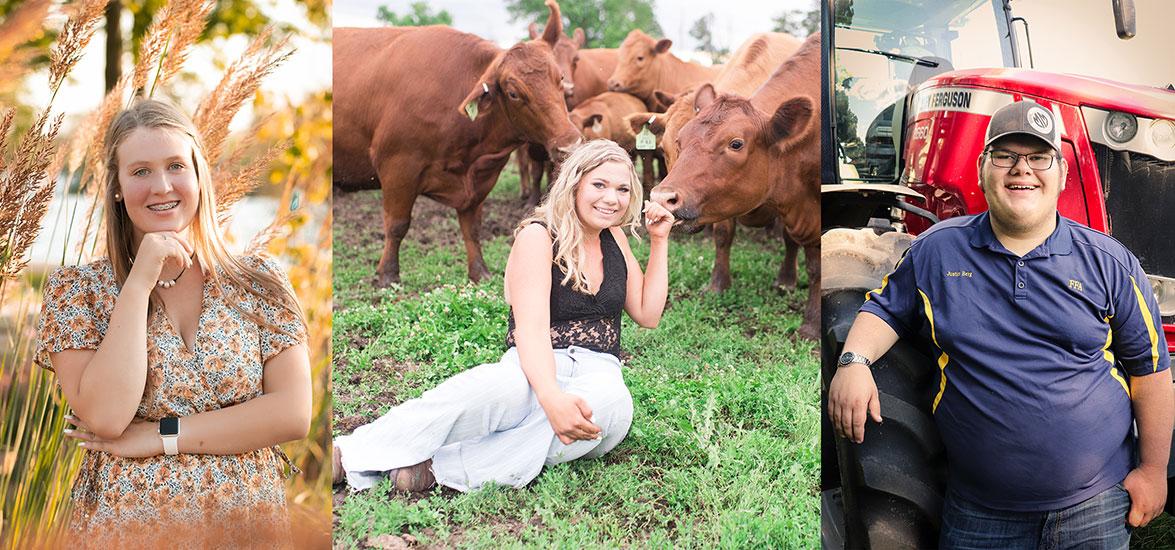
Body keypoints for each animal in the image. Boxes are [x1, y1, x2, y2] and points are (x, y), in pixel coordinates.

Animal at [336, 11, 578, 287]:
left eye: (559, 79)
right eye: (514, 93)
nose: (569, 142)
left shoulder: (481, 180)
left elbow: (472, 228)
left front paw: (479, 272)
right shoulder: (398, 167)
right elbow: (397, 225)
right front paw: (388, 274)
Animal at [648, 33, 822, 338]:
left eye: (736, 144)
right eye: (675, 142)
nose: (661, 197)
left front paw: (810, 323)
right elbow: (723, 236)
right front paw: (717, 285)